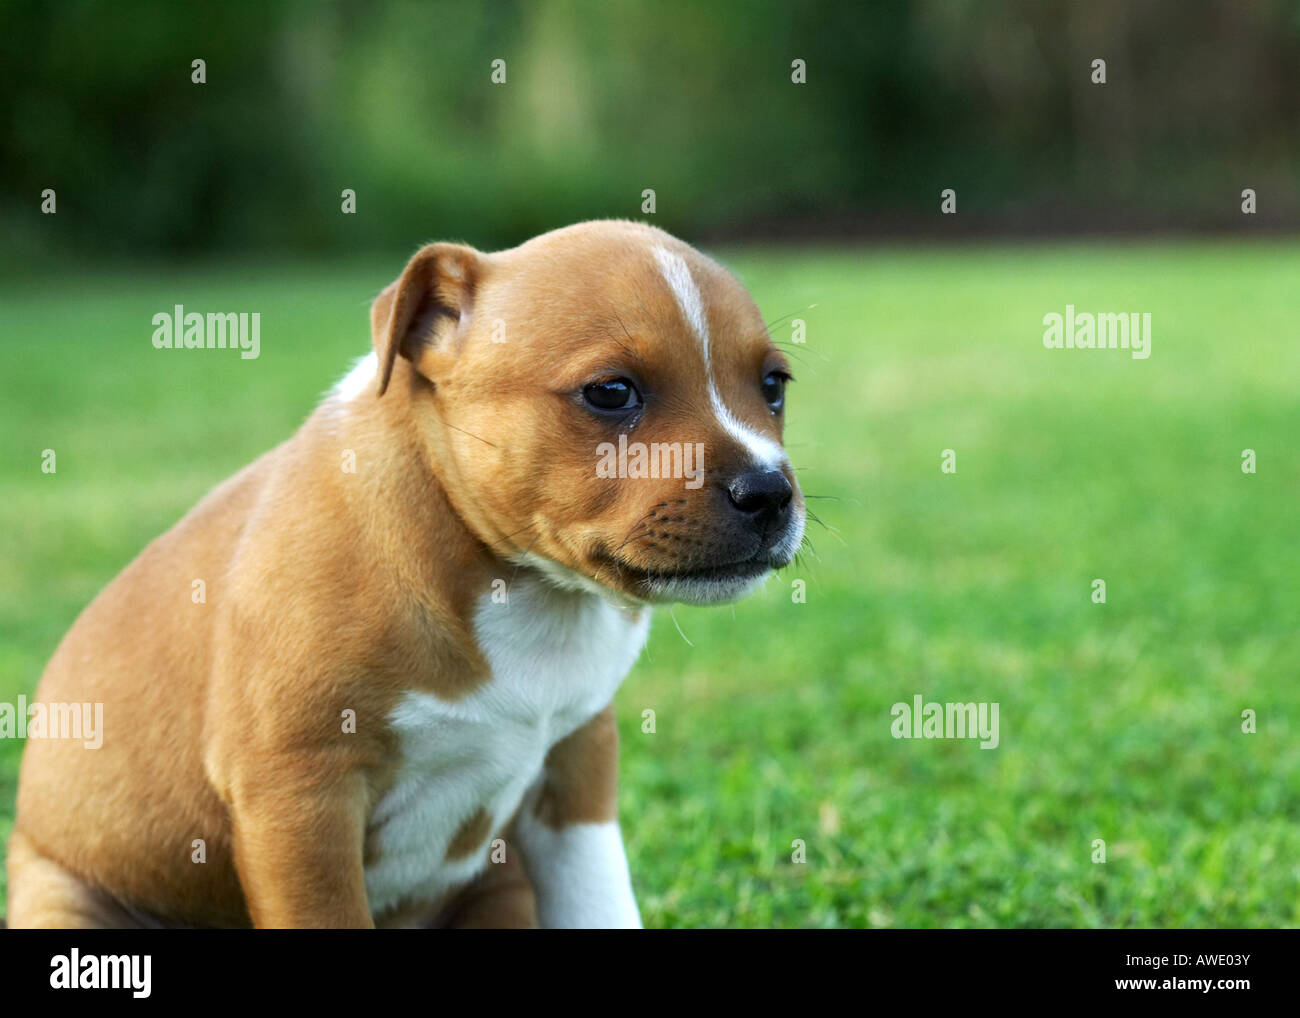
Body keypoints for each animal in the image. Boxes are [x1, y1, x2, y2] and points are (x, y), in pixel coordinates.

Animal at [5, 223, 800, 930]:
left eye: (774, 385)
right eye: (611, 392)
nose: (769, 491)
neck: (528, 591)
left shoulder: (578, 765)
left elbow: (597, 900)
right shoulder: (299, 796)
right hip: (64, 895)